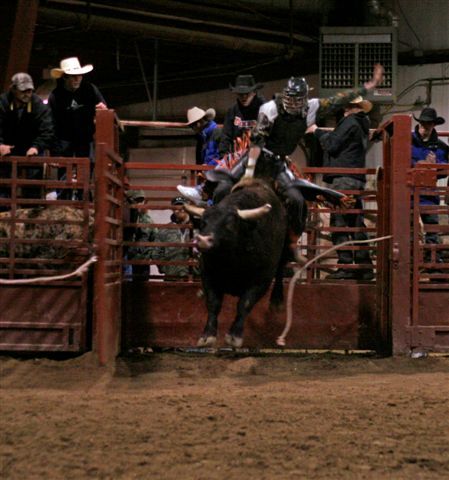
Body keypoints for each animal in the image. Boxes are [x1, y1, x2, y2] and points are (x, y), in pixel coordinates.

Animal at [184, 178, 344, 346]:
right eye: (203, 223)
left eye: (229, 224)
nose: (203, 240)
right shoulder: (208, 275)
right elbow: (213, 303)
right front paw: (207, 336)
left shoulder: (261, 280)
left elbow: (245, 304)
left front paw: (234, 336)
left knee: (280, 270)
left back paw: (277, 301)